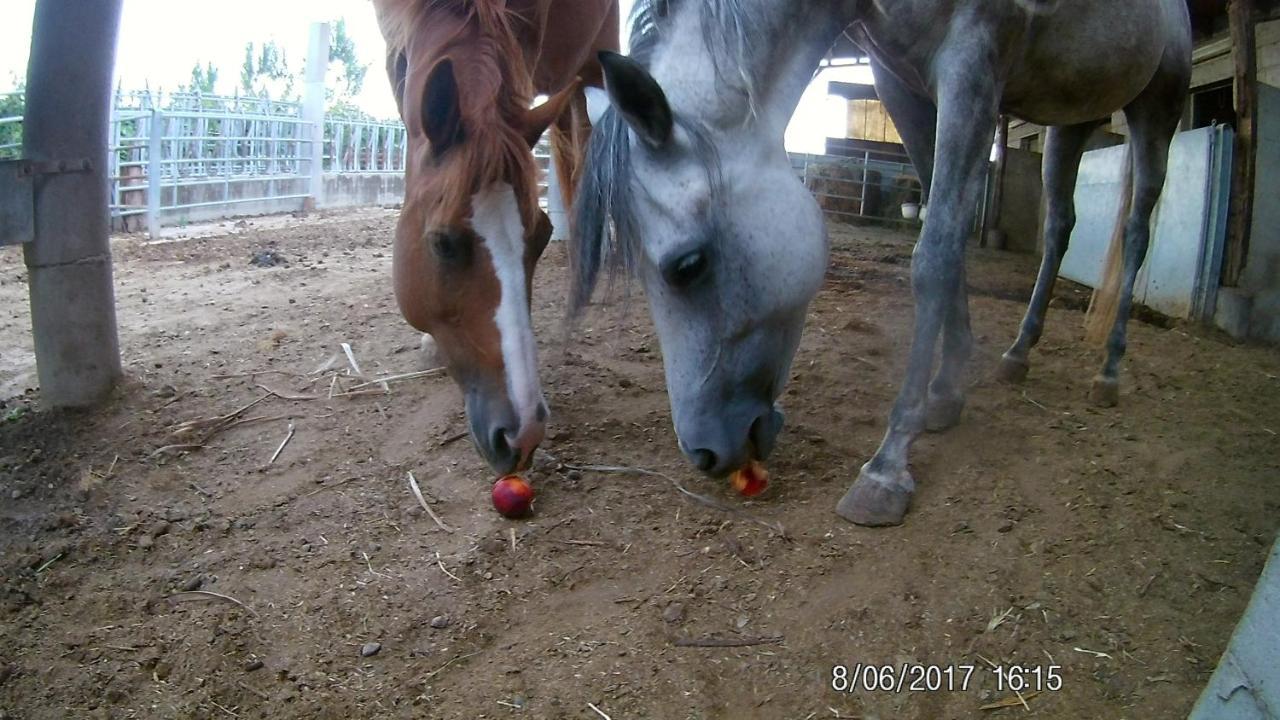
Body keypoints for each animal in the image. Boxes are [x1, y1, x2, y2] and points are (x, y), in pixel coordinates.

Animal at [570, 1, 1187, 527]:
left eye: (687, 265)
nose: (701, 453)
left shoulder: (972, 61)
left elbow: (934, 254)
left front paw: (888, 466)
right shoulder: (905, 85)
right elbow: (949, 235)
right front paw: (946, 392)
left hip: (1158, 103)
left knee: (1137, 230)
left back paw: (1109, 370)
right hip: (1072, 119)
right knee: (1059, 226)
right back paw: (1019, 352)